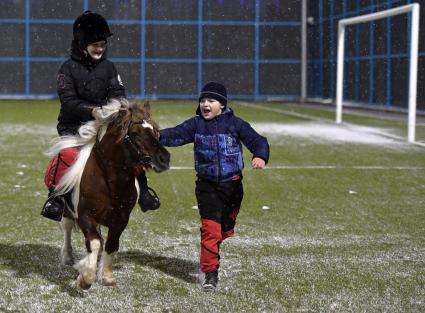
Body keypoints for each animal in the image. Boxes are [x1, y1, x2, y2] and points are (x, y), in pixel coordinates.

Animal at [49, 98, 169, 288]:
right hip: (68, 212)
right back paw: (68, 257)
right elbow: (95, 243)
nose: (164, 159)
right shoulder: (85, 216)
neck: (111, 184)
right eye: (134, 133)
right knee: (67, 229)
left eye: (156, 131)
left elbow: (111, 244)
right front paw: (85, 278)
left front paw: (106, 275)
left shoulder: (121, 219)